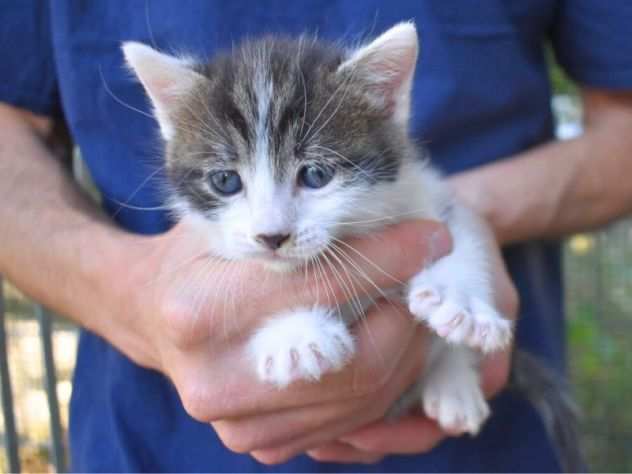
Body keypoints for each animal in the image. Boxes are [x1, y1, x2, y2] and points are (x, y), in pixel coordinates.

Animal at [123, 22, 524, 436]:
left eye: (316, 175)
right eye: (226, 181)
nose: (271, 236)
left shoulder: (424, 192)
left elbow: (459, 234)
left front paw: (460, 301)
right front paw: (295, 335)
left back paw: (454, 384)